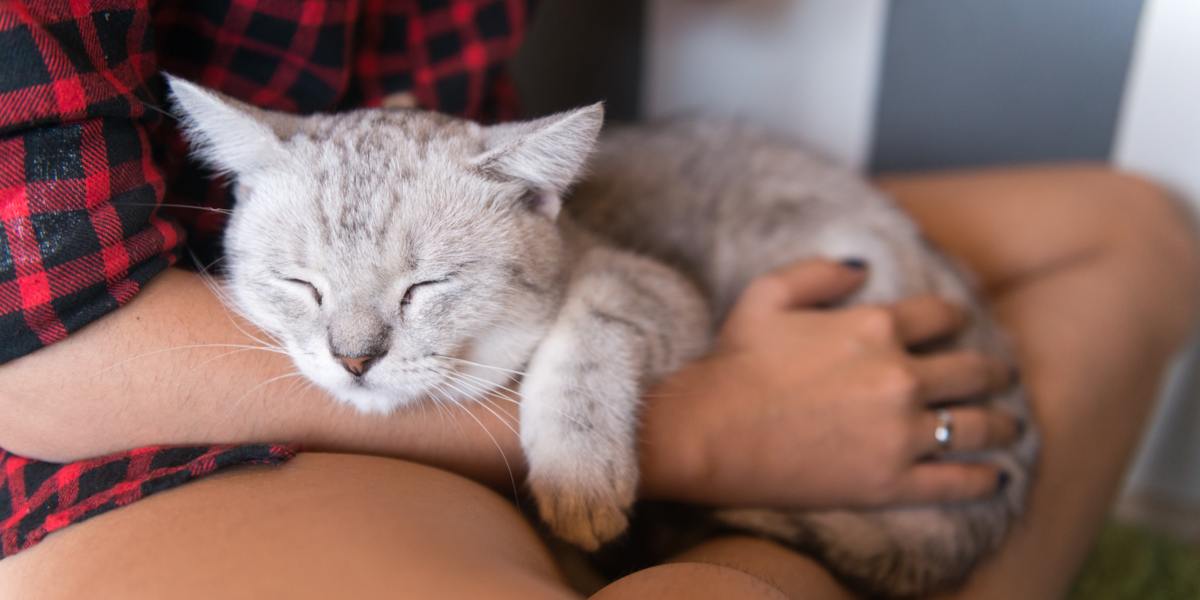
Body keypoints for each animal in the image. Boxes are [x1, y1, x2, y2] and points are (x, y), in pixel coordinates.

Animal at [169, 76, 1041, 600]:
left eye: (425, 288)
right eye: (301, 284)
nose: (353, 357)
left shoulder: (659, 293)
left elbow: (585, 337)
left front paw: (579, 475)